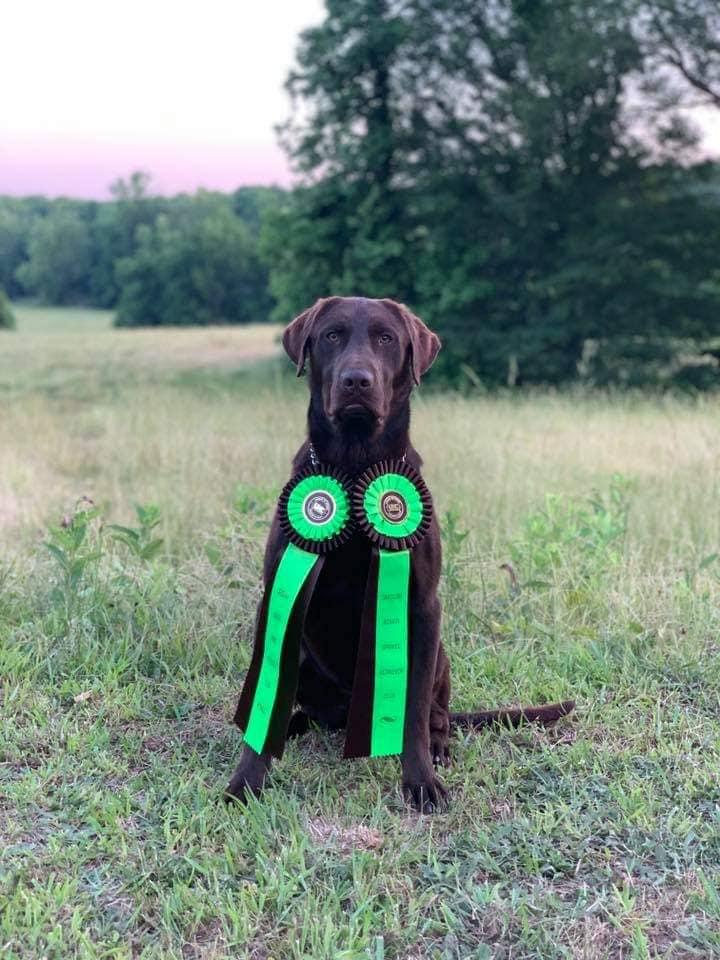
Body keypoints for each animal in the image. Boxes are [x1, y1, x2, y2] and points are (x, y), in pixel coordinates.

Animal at [225, 296, 574, 813]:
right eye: (331, 335)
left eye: (386, 338)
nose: (356, 380)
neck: (354, 469)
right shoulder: (276, 599)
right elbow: (265, 702)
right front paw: (247, 779)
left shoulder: (422, 604)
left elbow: (411, 715)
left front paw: (422, 782)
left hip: (440, 655)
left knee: (437, 715)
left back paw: (441, 747)